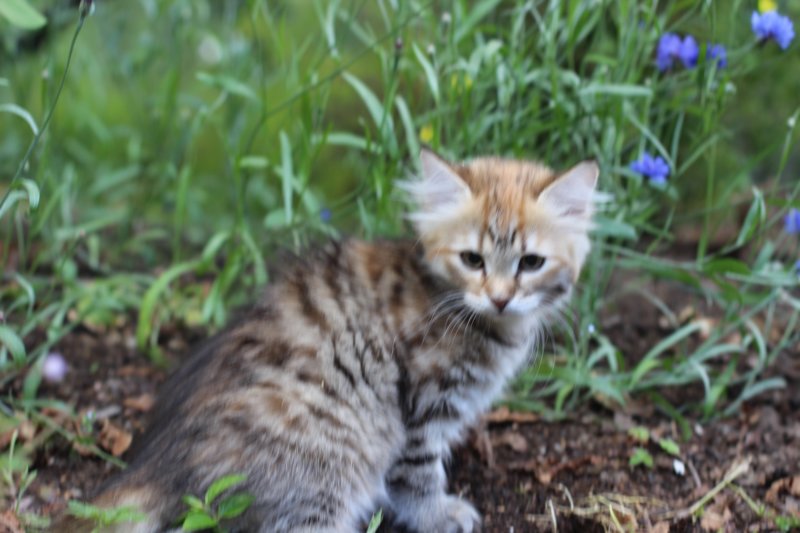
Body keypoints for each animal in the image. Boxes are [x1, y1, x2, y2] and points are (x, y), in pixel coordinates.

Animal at [54, 148, 598, 533]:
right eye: (472, 260)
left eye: (531, 263)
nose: (501, 298)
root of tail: (156, 462)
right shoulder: (421, 405)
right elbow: (418, 472)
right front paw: (436, 513)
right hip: (327, 463)